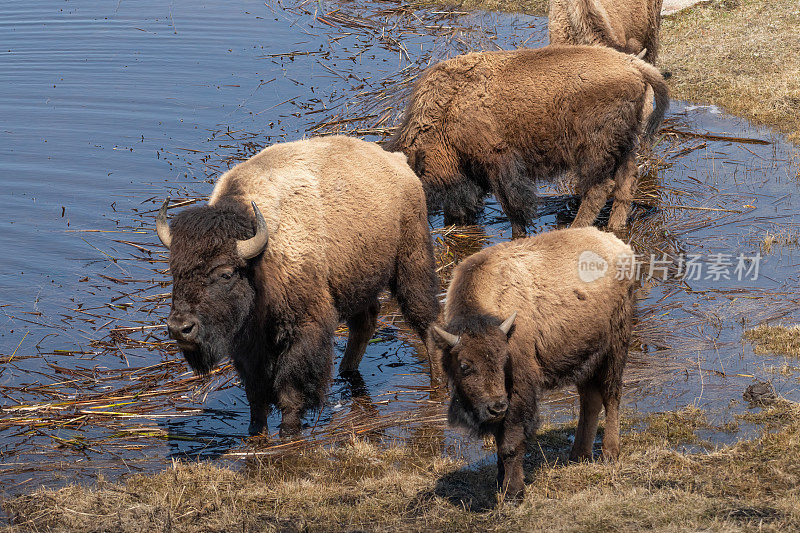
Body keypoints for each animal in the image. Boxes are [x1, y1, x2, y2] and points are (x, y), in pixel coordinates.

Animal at [157, 136, 440, 436]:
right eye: (175, 271)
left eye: (225, 274)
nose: (180, 328)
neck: (260, 260)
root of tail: (399, 162)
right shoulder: (248, 345)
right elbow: (256, 394)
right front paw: (256, 431)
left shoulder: (304, 328)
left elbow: (290, 389)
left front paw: (289, 431)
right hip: (356, 281)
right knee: (365, 321)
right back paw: (346, 371)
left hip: (411, 261)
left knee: (425, 318)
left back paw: (437, 381)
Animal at [388, 45, 668, 237]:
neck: (450, 106)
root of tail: (632, 64)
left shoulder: (498, 162)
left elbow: (512, 204)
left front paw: (518, 234)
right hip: (624, 145)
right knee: (626, 181)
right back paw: (615, 226)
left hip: (593, 151)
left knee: (599, 188)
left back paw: (575, 228)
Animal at [434, 225, 636, 498]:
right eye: (464, 366)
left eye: (504, 360)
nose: (496, 407)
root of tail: (618, 244)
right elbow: (499, 442)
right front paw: (500, 483)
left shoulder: (519, 390)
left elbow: (510, 443)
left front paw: (513, 491)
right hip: (585, 356)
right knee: (590, 400)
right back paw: (578, 455)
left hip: (615, 347)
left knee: (611, 394)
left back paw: (610, 453)